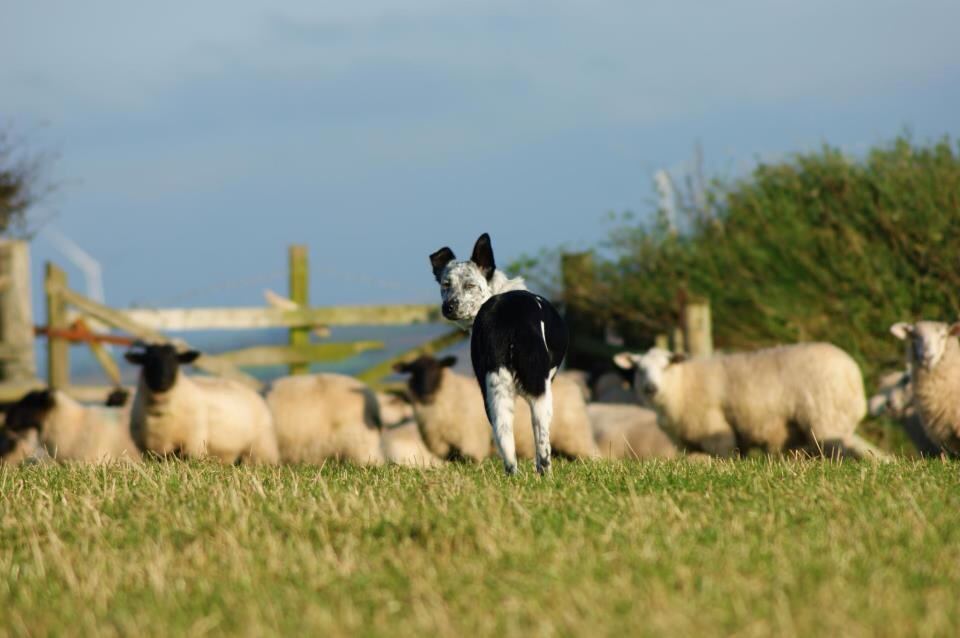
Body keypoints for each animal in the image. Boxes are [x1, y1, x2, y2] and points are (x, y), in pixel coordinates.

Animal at [126, 344, 279, 464]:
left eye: (175, 361)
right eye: (148, 361)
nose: (162, 382)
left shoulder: (193, 445)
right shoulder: (150, 451)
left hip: (261, 447)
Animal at [393, 355, 598, 462]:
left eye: (436, 370)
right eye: (413, 372)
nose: (425, 393)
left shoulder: (472, 444)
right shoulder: (447, 449)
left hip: (576, 437)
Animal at [614, 343, 885, 459]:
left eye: (666, 365)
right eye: (639, 369)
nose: (650, 387)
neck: (682, 384)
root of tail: (853, 371)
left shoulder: (718, 434)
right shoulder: (688, 445)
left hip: (827, 419)